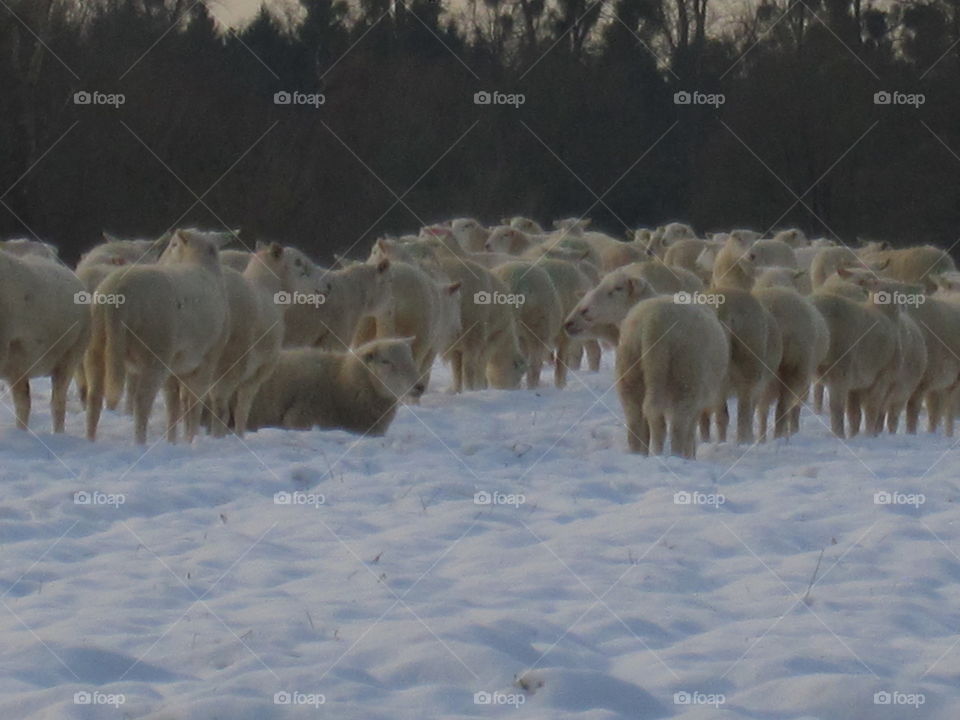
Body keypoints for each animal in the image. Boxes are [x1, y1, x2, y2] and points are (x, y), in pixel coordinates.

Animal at [84, 231, 231, 444]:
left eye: (172, 245)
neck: (199, 262)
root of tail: (118, 290)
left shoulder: (176, 365)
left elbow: (174, 403)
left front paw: (173, 440)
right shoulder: (208, 359)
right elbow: (193, 401)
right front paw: (191, 439)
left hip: (96, 345)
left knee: (94, 395)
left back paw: (90, 438)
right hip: (155, 350)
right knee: (142, 400)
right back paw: (140, 442)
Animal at [616, 296, 728, 456]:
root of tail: (653, 321)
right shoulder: (697, 401)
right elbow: (690, 431)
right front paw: (690, 455)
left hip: (630, 368)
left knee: (637, 418)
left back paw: (639, 454)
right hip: (686, 375)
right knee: (677, 426)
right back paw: (674, 454)